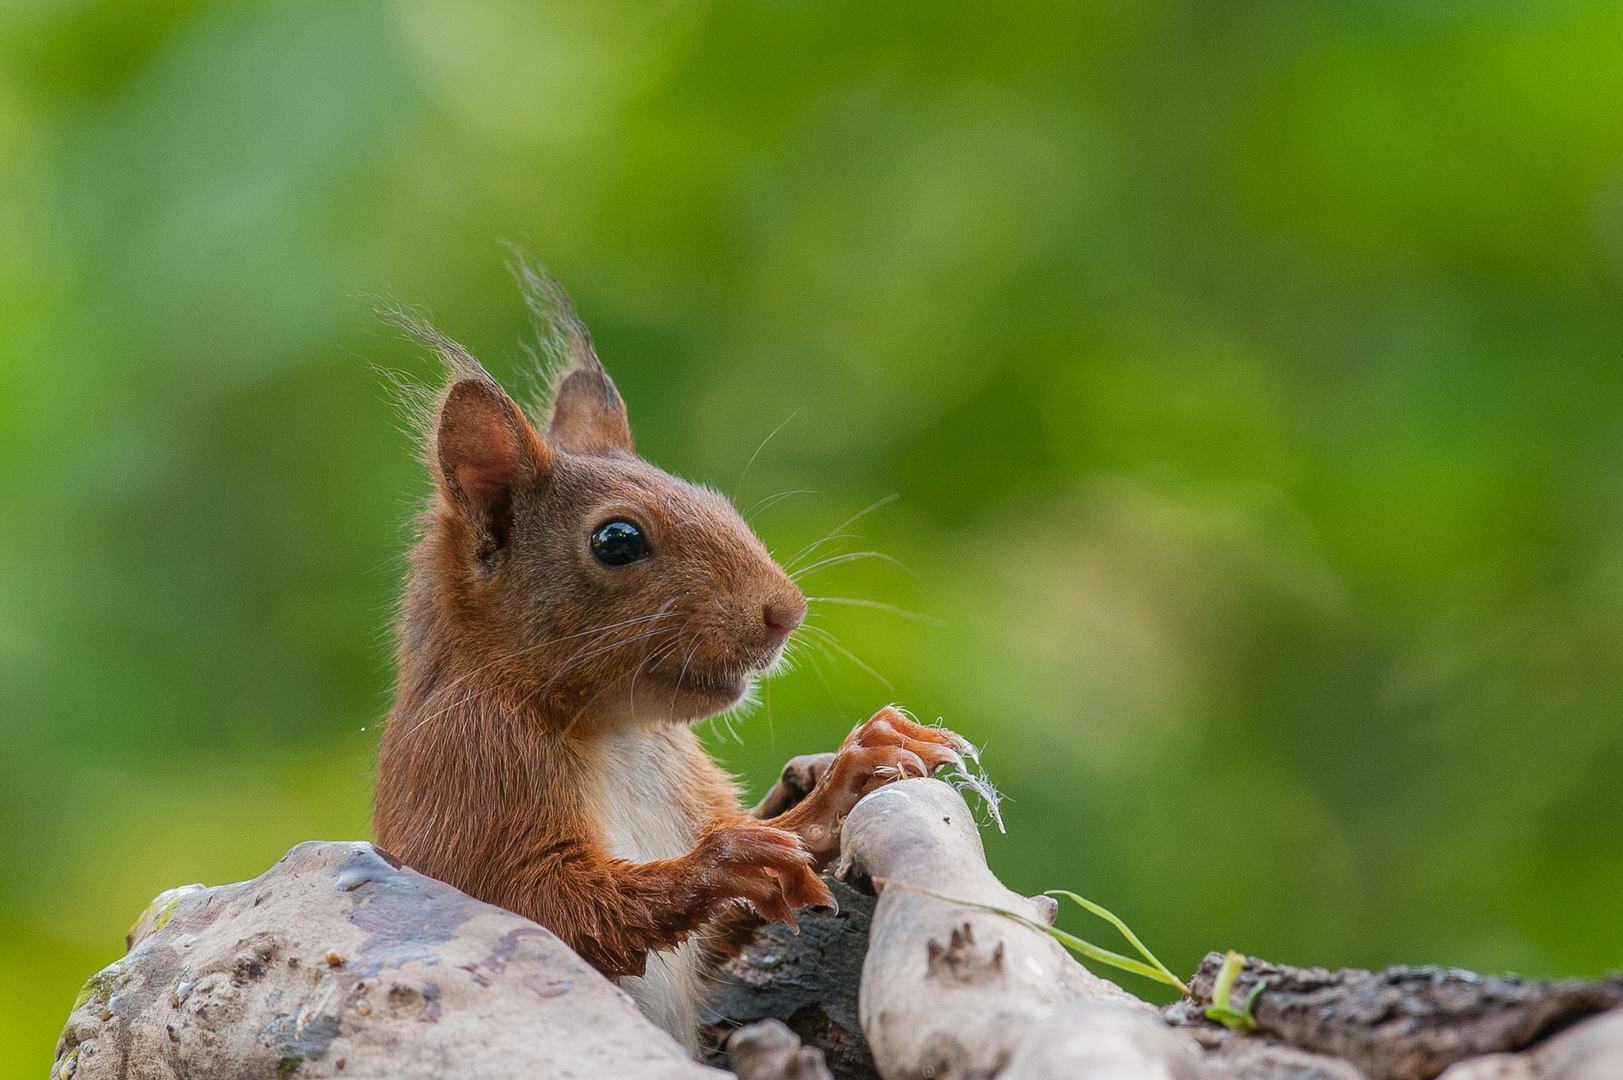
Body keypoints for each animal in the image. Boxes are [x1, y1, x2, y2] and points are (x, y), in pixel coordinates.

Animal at [371, 261, 967, 1052]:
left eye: (713, 499)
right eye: (617, 541)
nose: (786, 611)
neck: (615, 733)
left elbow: (729, 933)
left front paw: (840, 769)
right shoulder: (465, 773)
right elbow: (557, 907)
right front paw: (776, 830)